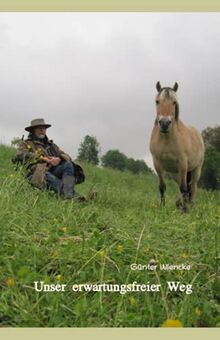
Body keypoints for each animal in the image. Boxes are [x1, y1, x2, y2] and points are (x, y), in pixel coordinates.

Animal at [150, 81, 205, 211]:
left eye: (174, 102)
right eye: (157, 101)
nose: (164, 124)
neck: (166, 139)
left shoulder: (183, 163)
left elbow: (184, 188)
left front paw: (185, 210)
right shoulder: (157, 163)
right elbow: (162, 187)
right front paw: (162, 207)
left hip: (196, 170)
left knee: (192, 188)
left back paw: (190, 206)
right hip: (175, 173)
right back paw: (179, 204)